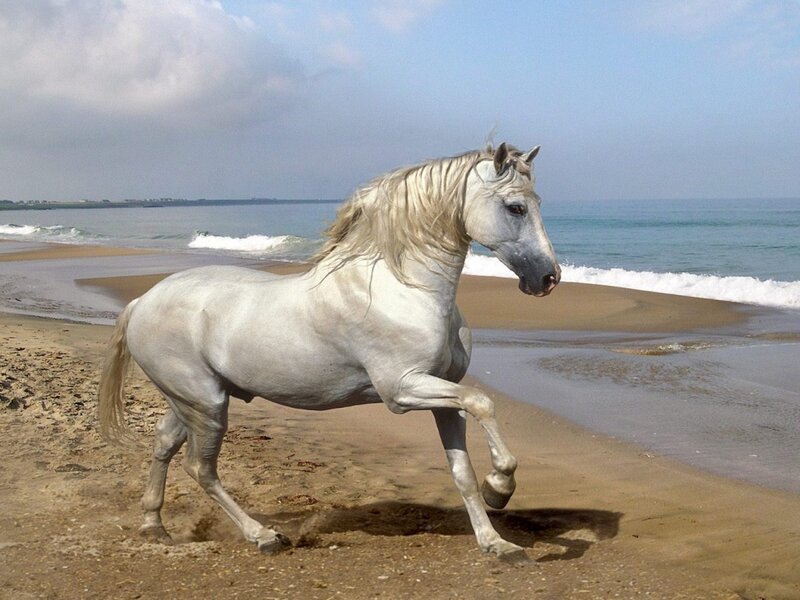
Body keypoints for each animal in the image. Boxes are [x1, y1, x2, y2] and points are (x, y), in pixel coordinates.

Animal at [98, 142, 560, 559]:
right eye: (516, 207)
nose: (548, 277)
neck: (404, 288)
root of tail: (142, 301)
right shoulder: (402, 390)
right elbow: (484, 403)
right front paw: (500, 488)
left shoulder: (443, 395)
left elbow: (462, 470)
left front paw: (497, 542)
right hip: (206, 403)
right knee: (200, 468)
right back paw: (263, 536)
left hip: (191, 400)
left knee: (164, 445)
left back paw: (154, 526)